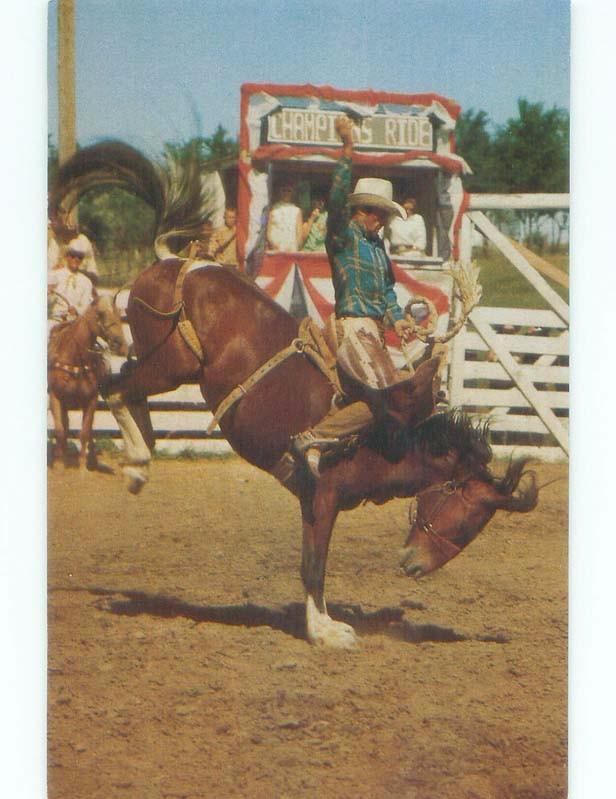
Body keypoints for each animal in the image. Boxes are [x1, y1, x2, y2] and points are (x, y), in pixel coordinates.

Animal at [49, 292, 129, 468]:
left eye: (119, 313)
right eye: (100, 313)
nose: (121, 345)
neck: (75, 359)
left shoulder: (91, 400)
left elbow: (85, 433)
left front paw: (82, 468)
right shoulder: (55, 397)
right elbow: (60, 430)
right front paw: (58, 464)